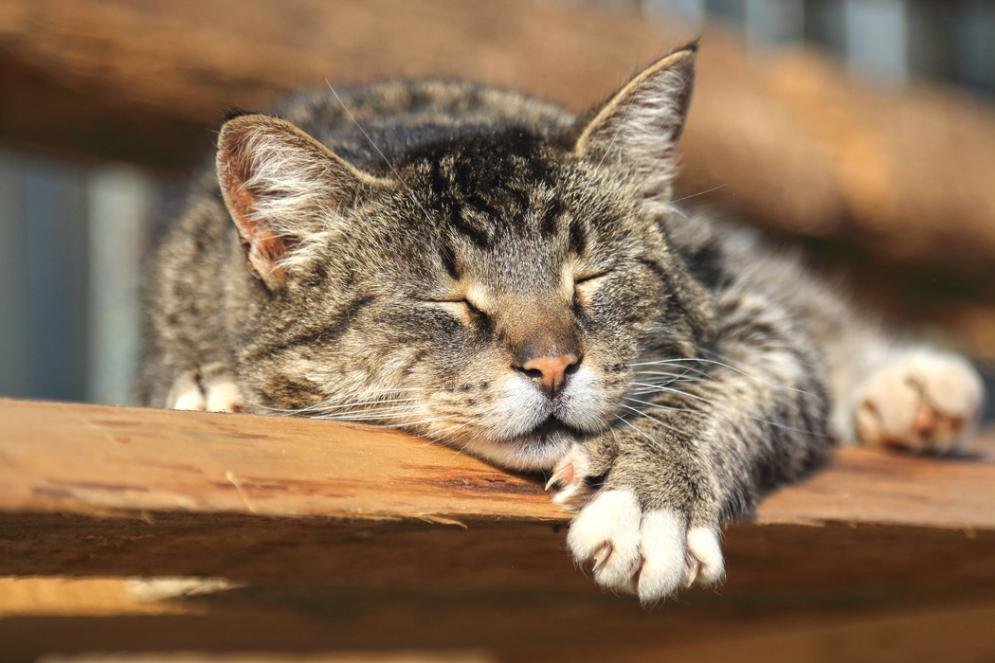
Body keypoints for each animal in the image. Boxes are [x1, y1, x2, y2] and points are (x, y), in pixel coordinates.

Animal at [140, 45, 988, 608]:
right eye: (448, 299)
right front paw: (208, 384)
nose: (551, 365)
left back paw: (913, 389)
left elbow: (716, 390)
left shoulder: (761, 323)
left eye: (588, 277)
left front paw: (649, 498)